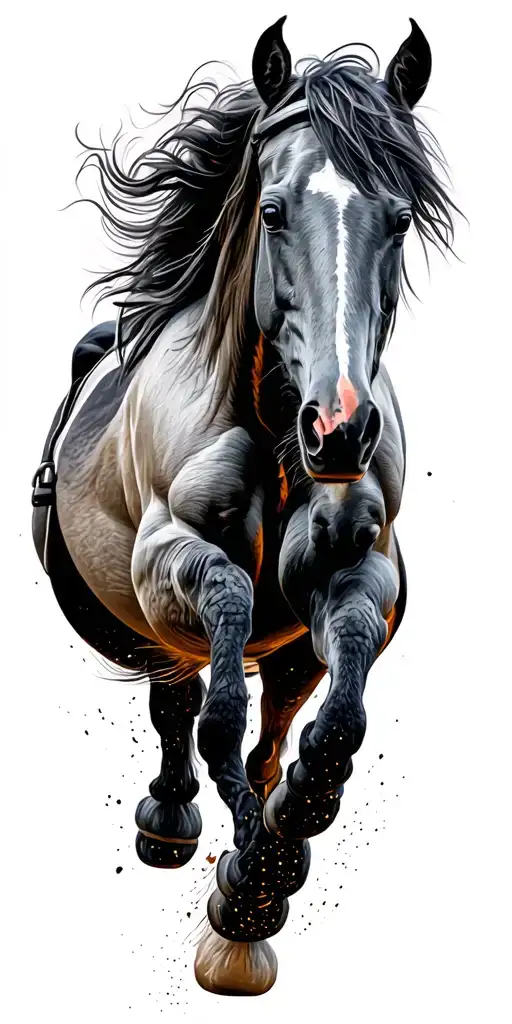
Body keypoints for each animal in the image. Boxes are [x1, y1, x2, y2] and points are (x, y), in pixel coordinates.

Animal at [31, 15, 457, 996]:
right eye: (272, 212)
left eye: (399, 219)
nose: (340, 429)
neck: (271, 424)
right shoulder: (167, 561)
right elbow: (218, 679)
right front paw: (246, 886)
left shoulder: (358, 572)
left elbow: (332, 723)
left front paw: (262, 880)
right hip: (148, 618)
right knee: (184, 695)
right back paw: (172, 821)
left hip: (287, 646)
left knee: (271, 722)